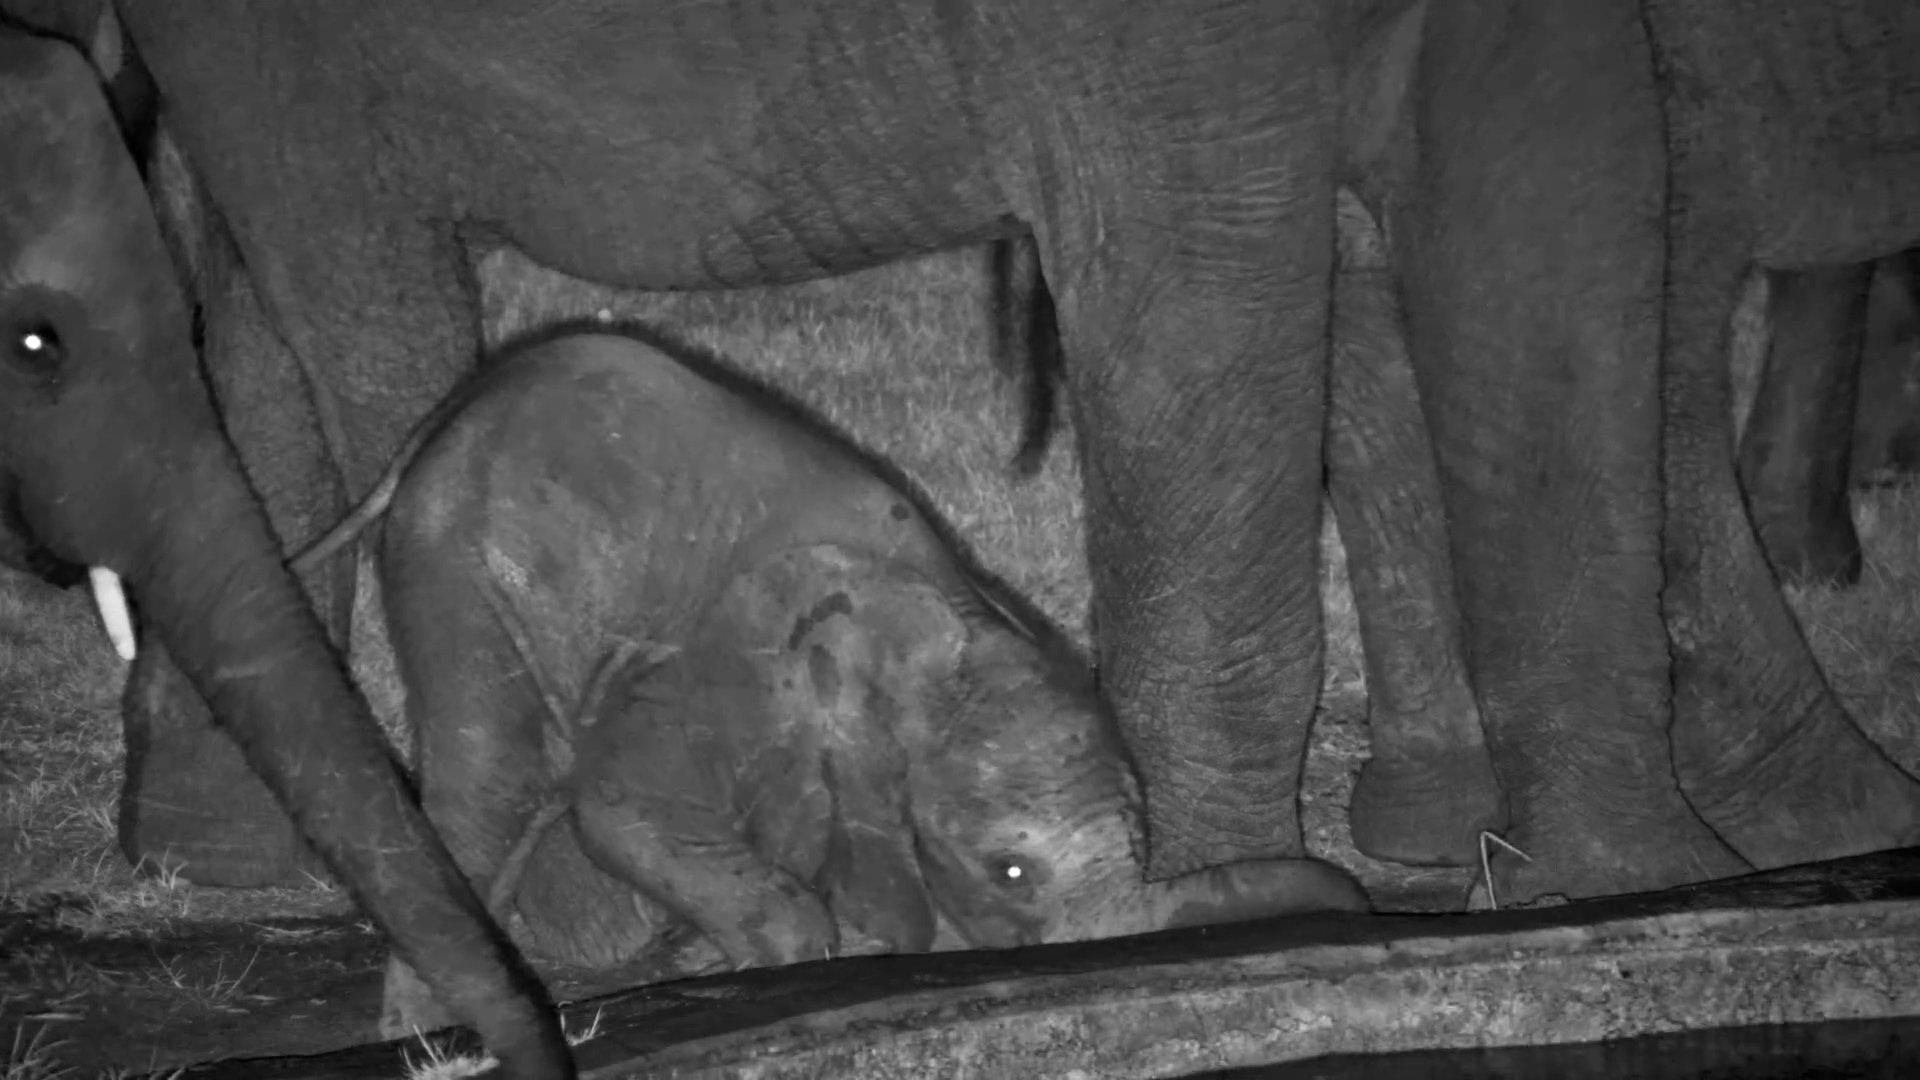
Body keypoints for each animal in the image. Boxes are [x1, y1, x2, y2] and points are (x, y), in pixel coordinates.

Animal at [287, 324, 1368, 1035]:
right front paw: (767, 972)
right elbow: (620, 814)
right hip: (459, 581)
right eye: (1011, 872)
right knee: (493, 788)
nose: (1359, 896)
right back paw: (437, 1045)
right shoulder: (711, 664)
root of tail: (433, 432)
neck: (937, 618)